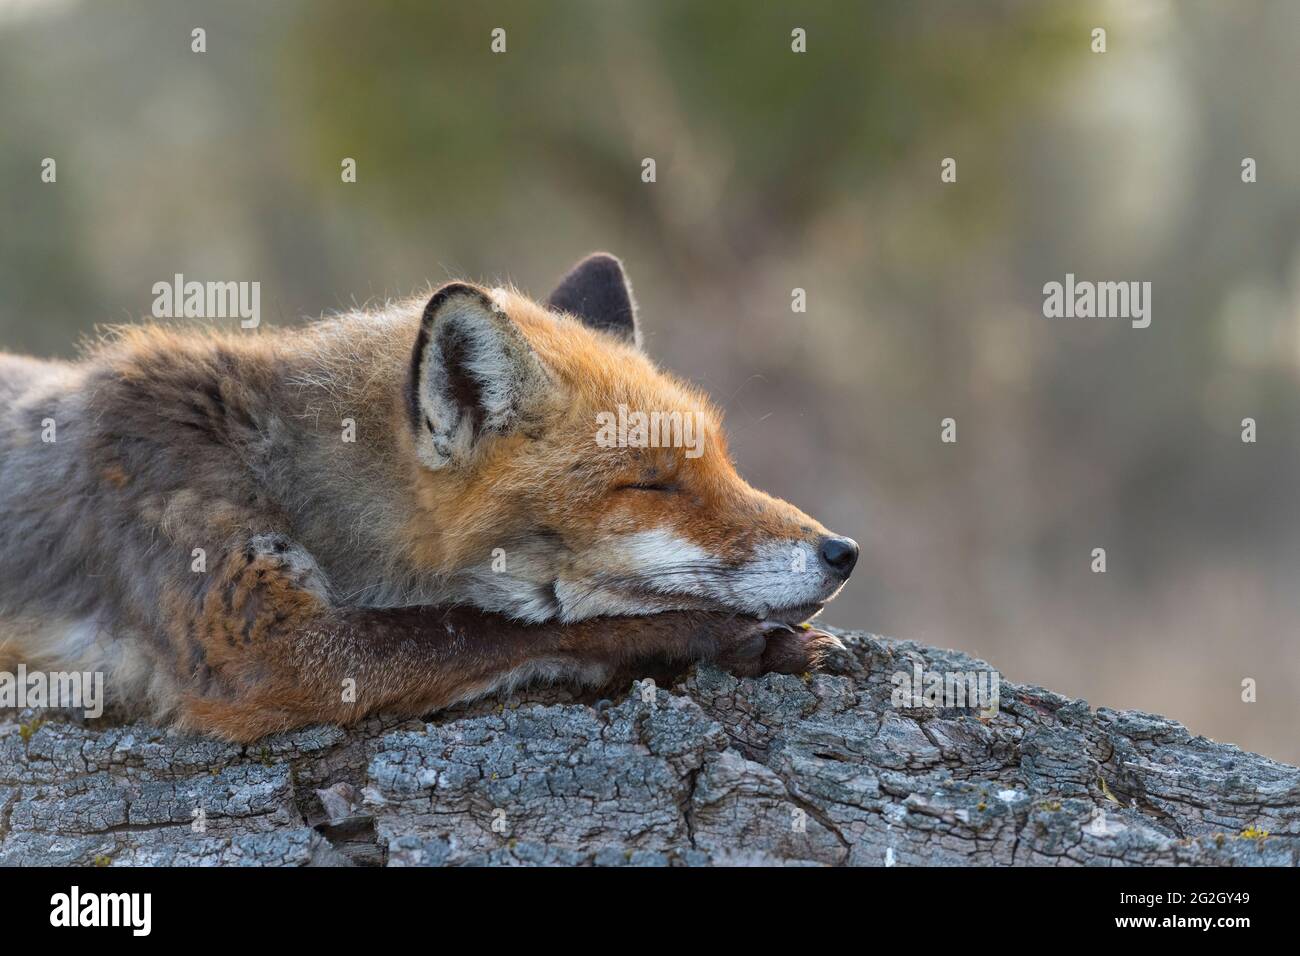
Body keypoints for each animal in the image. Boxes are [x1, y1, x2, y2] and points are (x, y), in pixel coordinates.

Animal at [0, 252, 857, 738]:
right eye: (653, 483)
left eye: (727, 466)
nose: (843, 552)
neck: (278, 474)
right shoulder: (260, 646)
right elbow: (493, 625)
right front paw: (718, 636)